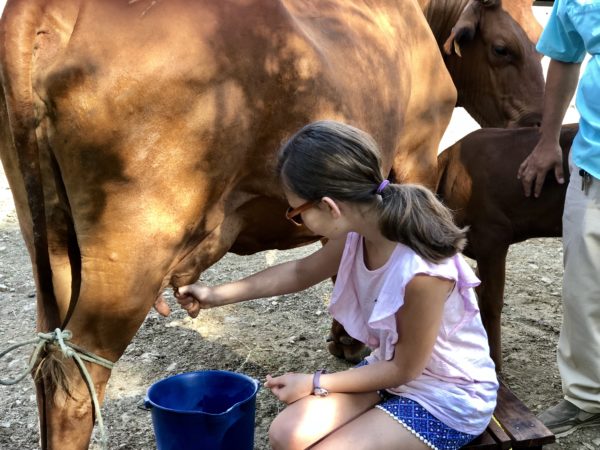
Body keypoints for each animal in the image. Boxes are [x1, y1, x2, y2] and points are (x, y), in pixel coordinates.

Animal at [0, 0, 454, 450]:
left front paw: (345, 338)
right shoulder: (418, 151)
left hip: (54, 249)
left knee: (46, 364)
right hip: (128, 257)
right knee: (74, 379)